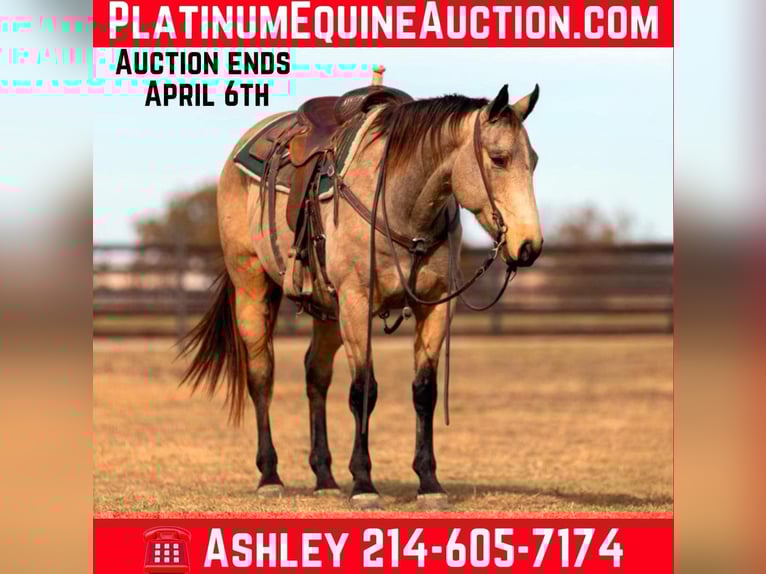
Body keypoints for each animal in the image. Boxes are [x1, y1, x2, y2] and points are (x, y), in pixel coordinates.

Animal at [179, 83, 544, 507]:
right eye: (499, 159)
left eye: (533, 161)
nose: (529, 246)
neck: (401, 204)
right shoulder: (356, 304)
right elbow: (363, 391)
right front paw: (364, 483)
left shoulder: (435, 307)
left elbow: (425, 391)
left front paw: (429, 483)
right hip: (252, 289)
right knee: (261, 376)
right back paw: (270, 476)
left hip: (327, 311)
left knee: (316, 375)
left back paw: (324, 476)